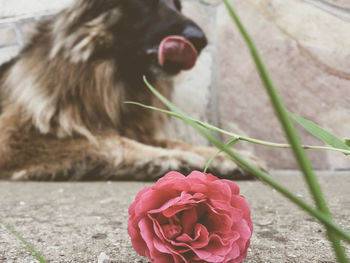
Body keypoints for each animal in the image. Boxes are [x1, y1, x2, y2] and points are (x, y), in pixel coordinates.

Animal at [0, 0, 262, 180]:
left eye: (177, 5)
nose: (201, 40)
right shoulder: (15, 139)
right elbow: (107, 140)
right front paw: (173, 159)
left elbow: (172, 141)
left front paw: (226, 156)